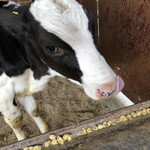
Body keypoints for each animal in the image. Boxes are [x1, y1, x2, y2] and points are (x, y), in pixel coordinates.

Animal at [0, 0, 124, 141]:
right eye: (51, 48)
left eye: (92, 29)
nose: (110, 87)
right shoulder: (4, 93)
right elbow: (15, 121)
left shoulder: (23, 86)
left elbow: (33, 110)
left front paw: (45, 132)